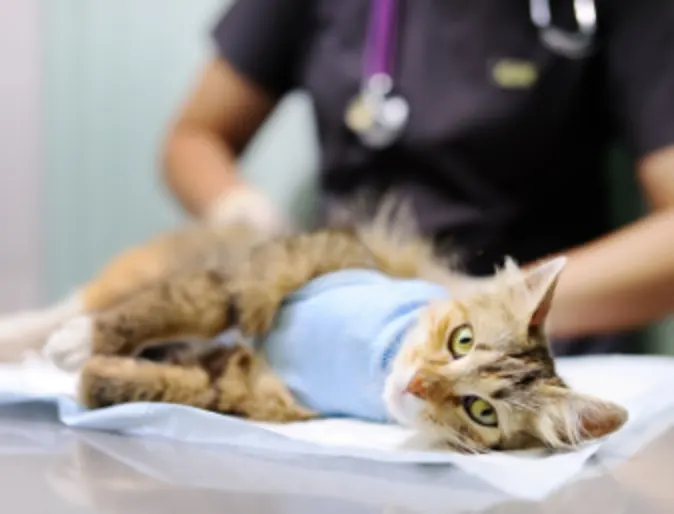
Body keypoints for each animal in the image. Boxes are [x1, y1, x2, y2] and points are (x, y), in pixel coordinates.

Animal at [1, 202, 632, 450]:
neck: (373, 355)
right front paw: (80, 346)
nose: (416, 385)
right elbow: (168, 310)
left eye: (482, 411)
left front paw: (94, 378)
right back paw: (35, 335)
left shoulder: (247, 387)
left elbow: (162, 385)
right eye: (463, 340)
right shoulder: (261, 278)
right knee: (76, 303)